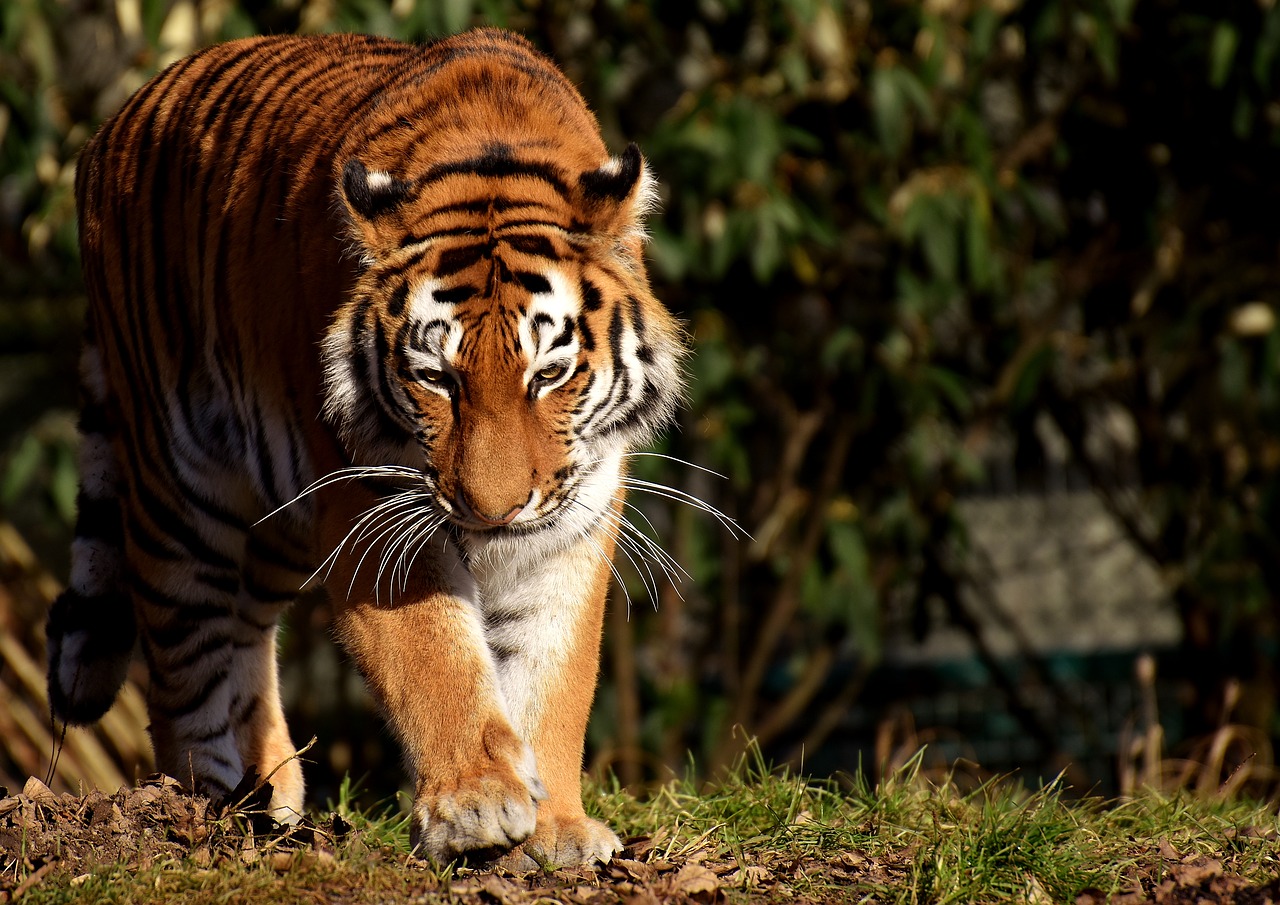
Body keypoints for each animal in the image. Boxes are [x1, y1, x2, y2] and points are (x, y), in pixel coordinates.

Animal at [47, 28, 691, 870]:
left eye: (549, 374)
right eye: (435, 377)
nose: (492, 509)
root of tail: (109, 126)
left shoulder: (571, 516)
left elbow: (555, 671)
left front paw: (559, 829)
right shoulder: (368, 503)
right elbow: (434, 654)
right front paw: (475, 804)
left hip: (277, 522)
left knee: (247, 631)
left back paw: (271, 793)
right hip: (180, 490)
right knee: (184, 658)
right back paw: (208, 811)